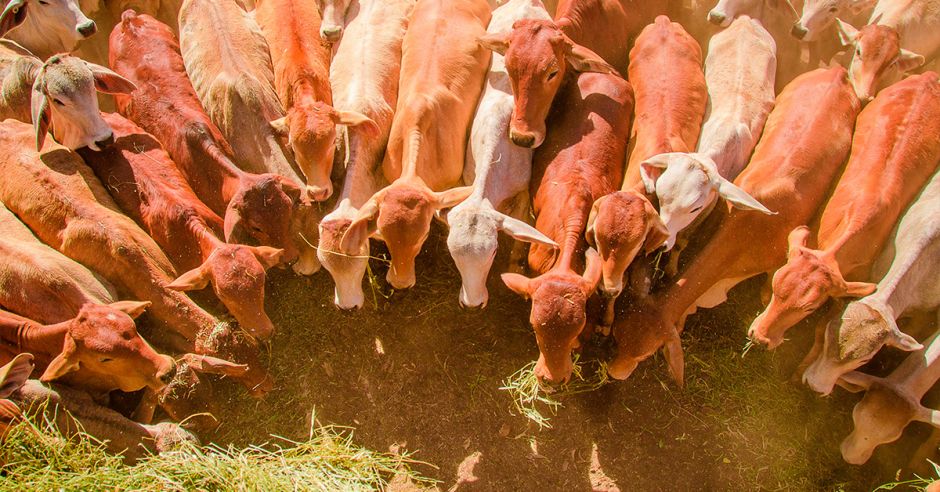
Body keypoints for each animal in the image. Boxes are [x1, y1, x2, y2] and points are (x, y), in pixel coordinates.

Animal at [640, 16, 775, 274]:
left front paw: (671, 268)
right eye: (659, 195)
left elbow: (683, 240)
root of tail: (747, 20)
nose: (659, 243)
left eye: (695, 208)